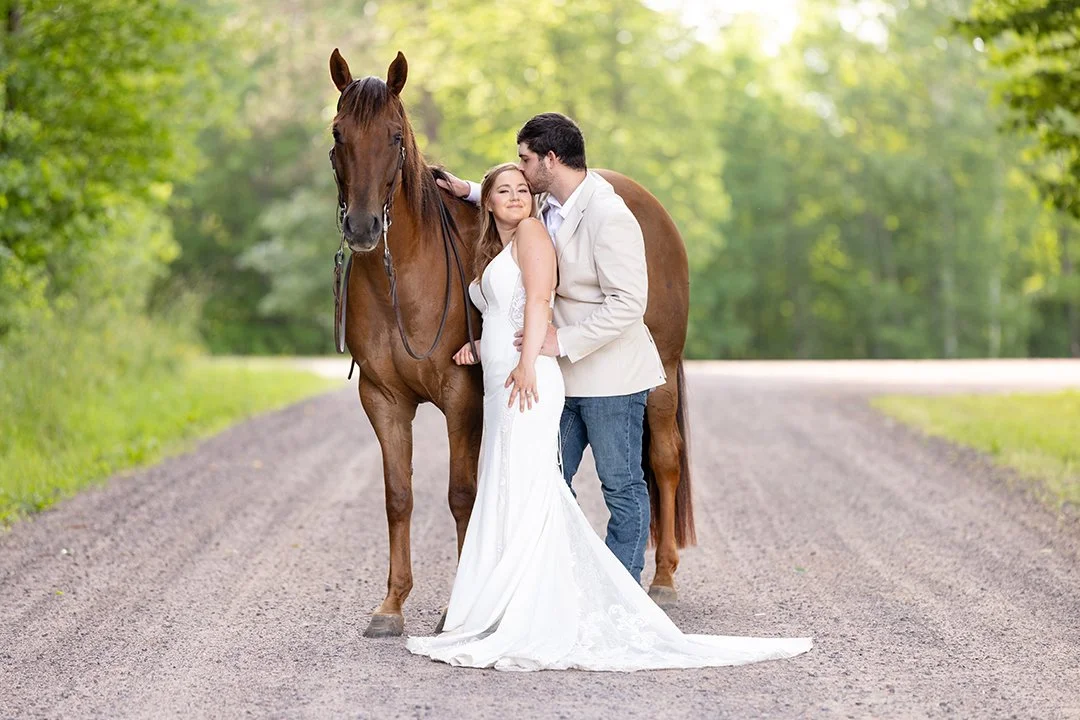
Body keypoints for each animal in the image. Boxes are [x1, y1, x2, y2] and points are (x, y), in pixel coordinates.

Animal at [329, 49, 694, 638]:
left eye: (394, 137)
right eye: (339, 133)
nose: (362, 228)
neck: (404, 279)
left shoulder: (461, 397)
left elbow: (461, 496)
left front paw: (457, 610)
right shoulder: (382, 400)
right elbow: (398, 497)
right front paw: (391, 605)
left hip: (659, 378)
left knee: (661, 462)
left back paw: (659, 579)